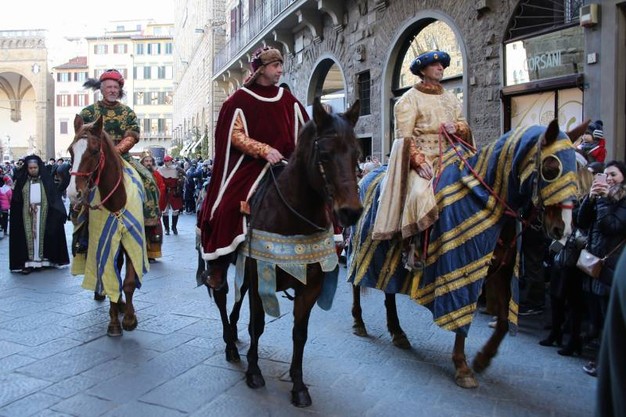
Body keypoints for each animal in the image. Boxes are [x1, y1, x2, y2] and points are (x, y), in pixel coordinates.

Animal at [66, 115, 148, 336]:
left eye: (94, 151)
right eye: (70, 151)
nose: (73, 193)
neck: (116, 199)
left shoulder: (132, 238)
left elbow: (128, 282)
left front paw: (129, 319)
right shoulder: (104, 242)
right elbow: (109, 277)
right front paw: (114, 323)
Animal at [206, 98, 360, 406]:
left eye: (357, 153)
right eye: (324, 154)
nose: (351, 212)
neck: (294, 214)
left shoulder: (310, 286)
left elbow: (299, 333)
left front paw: (298, 385)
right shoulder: (260, 277)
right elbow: (257, 325)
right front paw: (253, 372)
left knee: (237, 296)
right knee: (222, 295)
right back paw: (231, 345)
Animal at [344, 119, 588, 386]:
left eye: (577, 169)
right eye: (551, 167)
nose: (563, 228)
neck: (487, 198)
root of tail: (365, 178)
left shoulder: (499, 270)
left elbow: (503, 321)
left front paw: (482, 359)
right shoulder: (463, 268)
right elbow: (461, 314)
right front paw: (462, 367)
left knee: (388, 293)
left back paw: (398, 333)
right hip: (359, 248)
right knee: (355, 282)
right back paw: (358, 322)